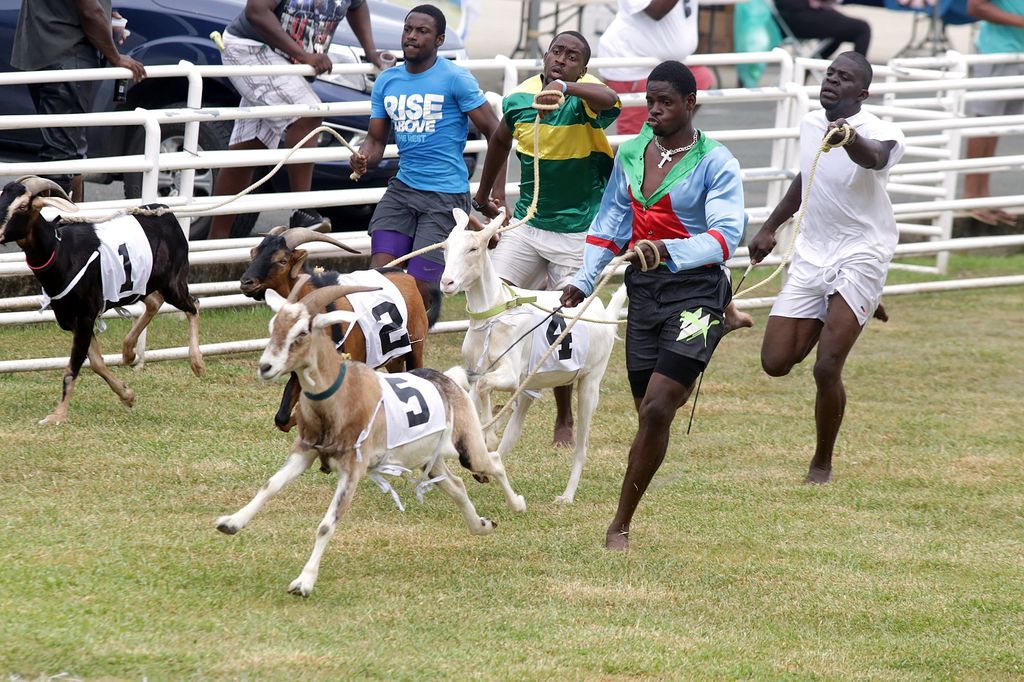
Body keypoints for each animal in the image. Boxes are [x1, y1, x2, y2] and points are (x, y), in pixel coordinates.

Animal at [0, 174, 203, 425]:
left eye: (22, 206)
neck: (61, 252)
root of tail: (165, 212)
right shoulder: (71, 320)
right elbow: (96, 363)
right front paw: (127, 395)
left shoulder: (85, 316)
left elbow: (72, 369)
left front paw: (57, 415)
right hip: (142, 284)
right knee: (154, 303)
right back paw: (128, 352)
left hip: (173, 282)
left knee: (193, 305)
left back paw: (197, 363)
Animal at [212, 278, 524, 593]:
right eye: (273, 326)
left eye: (302, 332)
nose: (266, 367)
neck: (342, 396)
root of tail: (449, 380)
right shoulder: (305, 451)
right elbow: (270, 485)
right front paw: (231, 523)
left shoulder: (353, 468)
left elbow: (326, 524)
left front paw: (304, 582)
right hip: (427, 458)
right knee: (457, 485)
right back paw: (481, 526)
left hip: (468, 446)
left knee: (493, 461)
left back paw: (517, 504)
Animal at [239, 228, 440, 430]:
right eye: (253, 253)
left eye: (282, 260)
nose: (246, 282)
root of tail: (407, 277)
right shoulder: (300, 371)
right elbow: (282, 418)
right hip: (394, 357)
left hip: (416, 347)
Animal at [438, 209, 626, 501]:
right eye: (446, 247)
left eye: (473, 248)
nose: (447, 282)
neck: (495, 314)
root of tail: (603, 312)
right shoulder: (478, 371)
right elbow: (474, 393)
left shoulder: (511, 375)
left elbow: (485, 387)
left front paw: (488, 434)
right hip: (534, 382)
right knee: (514, 431)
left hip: (590, 381)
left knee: (581, 446)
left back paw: (566, 496)